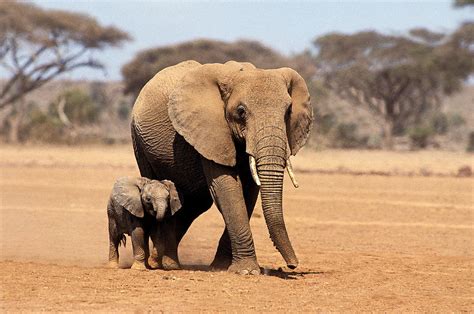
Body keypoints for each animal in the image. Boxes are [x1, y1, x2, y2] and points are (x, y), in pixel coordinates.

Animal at [131, 60, 312, 274]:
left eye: (288, 111)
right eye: (241, 111)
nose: (292, 265)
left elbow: (248, 192)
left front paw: (222, 266)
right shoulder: (210, 130)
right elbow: (228, 188)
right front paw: (246, 271)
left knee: (194, 203)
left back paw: (165, 262)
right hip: (139, 141)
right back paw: (160, 264)